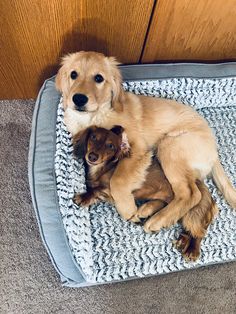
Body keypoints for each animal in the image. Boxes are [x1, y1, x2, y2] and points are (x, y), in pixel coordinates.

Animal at [55, 51, 236, 233]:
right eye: (73, 74)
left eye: (99, 78)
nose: (78, 99)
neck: (95, 114)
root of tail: (214, 151)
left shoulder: (137, 148)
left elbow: (117, 180)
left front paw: (127, 208)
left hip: (169, 146)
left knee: (191, 194)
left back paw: (158, 219)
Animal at [73, 126, 218, 262]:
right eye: (93, 137)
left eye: (110, 146)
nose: (92, 156)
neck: (104, 168)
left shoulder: (110, 190)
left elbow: (96, 190)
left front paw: (83, 197)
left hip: (194, 212)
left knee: (199, 231)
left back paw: (192, 250)